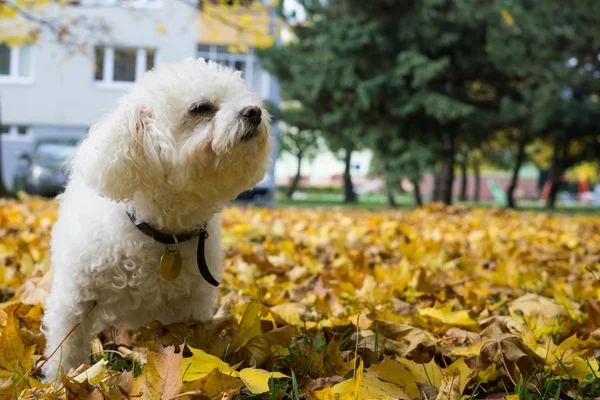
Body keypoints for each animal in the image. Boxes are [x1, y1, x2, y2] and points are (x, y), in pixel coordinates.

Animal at [42, 58, 274, 382]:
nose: (254, 111)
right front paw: (61, 380)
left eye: (241, 97)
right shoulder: (75, 297)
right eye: (201, 108)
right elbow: (68, 344)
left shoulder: (188, 307)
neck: (163, 229)